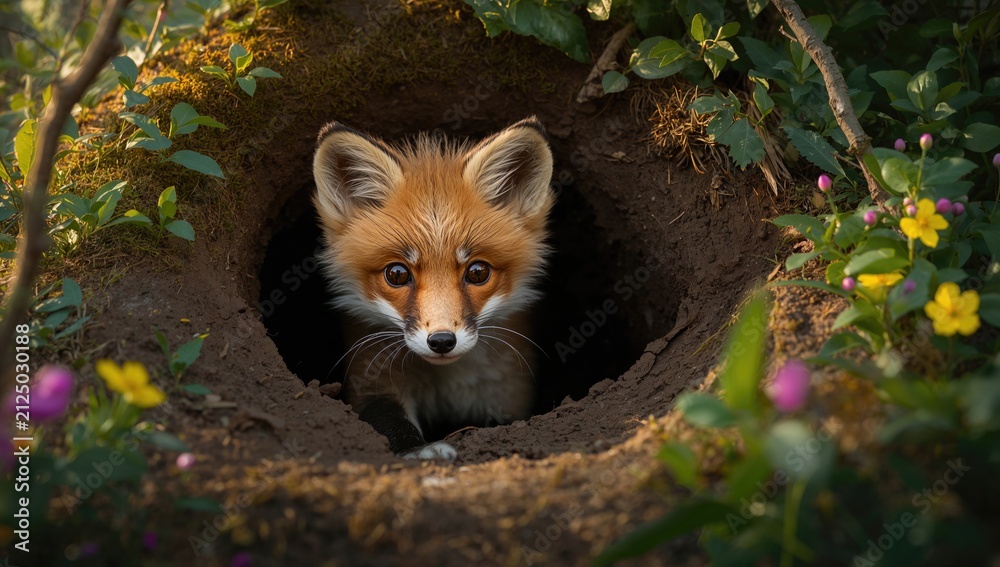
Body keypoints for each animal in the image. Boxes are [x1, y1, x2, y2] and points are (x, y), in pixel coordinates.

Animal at [312, 117, 554, 460]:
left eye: (478, 272)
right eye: (397, 274)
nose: (441, 341)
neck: (446, 382)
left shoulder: (510, 391)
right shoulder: (369, 375)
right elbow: (386, 416)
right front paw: (418, 450)